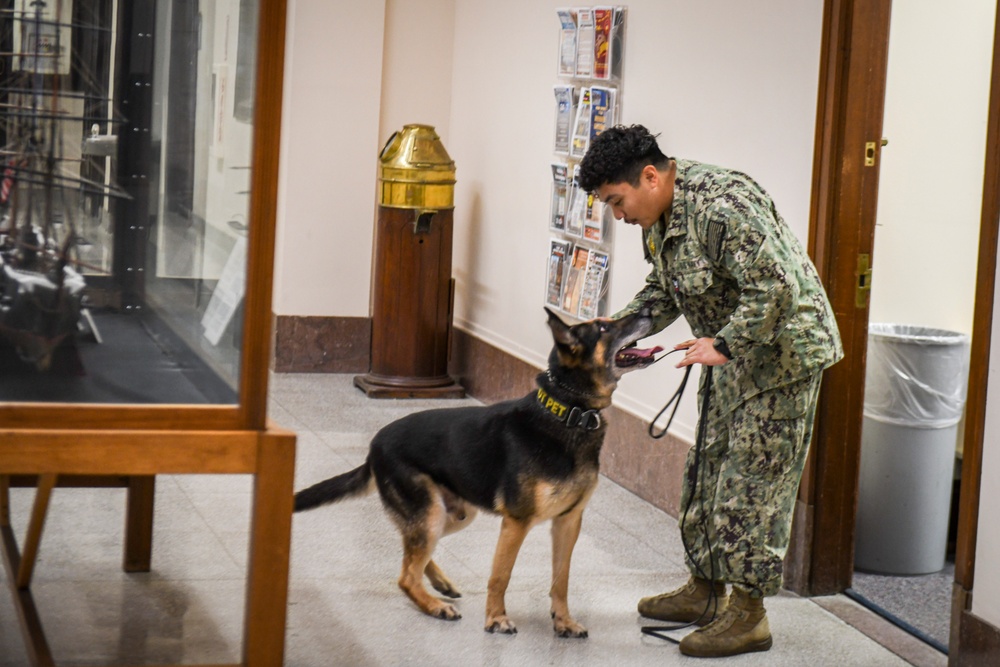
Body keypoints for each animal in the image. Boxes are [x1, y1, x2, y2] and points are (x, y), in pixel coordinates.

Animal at [292, 308, 660, 636]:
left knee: (409, 551)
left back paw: (439, 582)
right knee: (405, 574)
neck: (568, 413)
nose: (648, 310)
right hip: (431, 514)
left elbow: (561, 580)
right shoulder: (516, 523)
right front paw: (496, 619)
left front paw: (564, 621)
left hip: (454, 515)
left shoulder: (568, 523)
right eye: (603, 327)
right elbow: (500, 576)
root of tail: (373, 446)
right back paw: (434, 605)